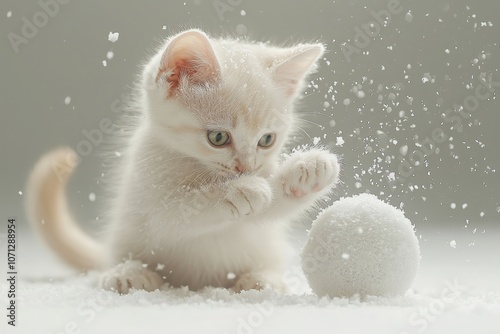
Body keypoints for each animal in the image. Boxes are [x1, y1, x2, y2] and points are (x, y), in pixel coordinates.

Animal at [27, 29, 340, 294]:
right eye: (218, 137)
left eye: (267, 140)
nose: (246, 168)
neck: (197, 165)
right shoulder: (153, 201)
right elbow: (181, 210)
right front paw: (238, 191)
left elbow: (270, 208)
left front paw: (306, 171)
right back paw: (129, 273)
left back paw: (262, 278)